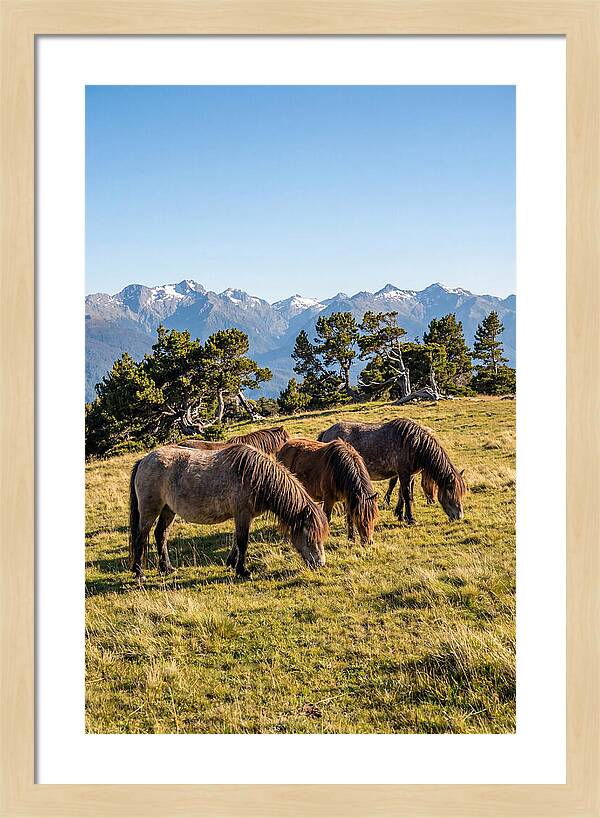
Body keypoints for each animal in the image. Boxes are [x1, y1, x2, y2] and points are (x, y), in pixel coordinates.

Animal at [129, 443, 328, 580]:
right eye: (309, 536)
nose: (320, 564)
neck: (255, 476)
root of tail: (144, 460)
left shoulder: (244, 517)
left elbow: (236, 540)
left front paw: (232, 563)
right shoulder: (242, 514)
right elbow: (243, 542)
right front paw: (243, 571)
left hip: (168, 510)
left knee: (161, 535)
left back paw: (167, 568)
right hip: (150, 510)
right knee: (141, 537)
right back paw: (139, 573)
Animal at [318, 418, 465, 523]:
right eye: (452, 495)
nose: (459, 516)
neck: (413, 443)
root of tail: (326, 432)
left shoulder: (409, 475)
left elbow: (402, 494)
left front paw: (400, 515)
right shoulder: (403, 473)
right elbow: (407, 495)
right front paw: (411, 519)